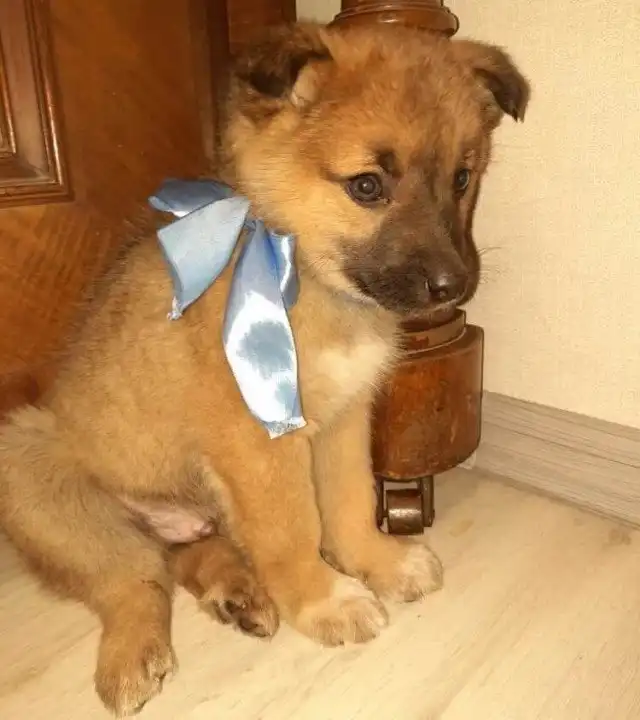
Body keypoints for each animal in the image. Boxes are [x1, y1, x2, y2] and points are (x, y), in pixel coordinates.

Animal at [0, 21, 529, 716]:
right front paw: (323, 598)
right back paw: (135, 655)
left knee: (180, 557)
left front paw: (378, 562)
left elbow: (351, 502)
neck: (301, 273)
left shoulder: (344, 421)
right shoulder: (262, 441)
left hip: (194, 513)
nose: (454, 285)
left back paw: (238, 594)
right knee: (132, 578)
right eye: (367, 186)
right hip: (32, 467)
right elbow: (291, 527)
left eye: (463, 177)